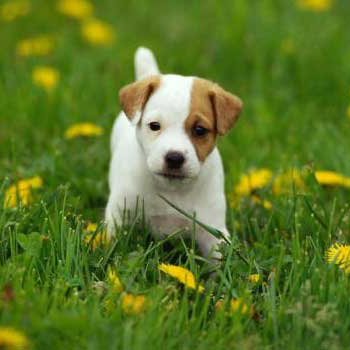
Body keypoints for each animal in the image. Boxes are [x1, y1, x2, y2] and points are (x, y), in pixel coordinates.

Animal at [106, 46, 243, 260]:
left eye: (199, 130)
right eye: (154, 126)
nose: (174, 157)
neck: (171, 189)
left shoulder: (212, 229)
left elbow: (219, 258)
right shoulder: (120, 213)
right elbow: (112, 242)